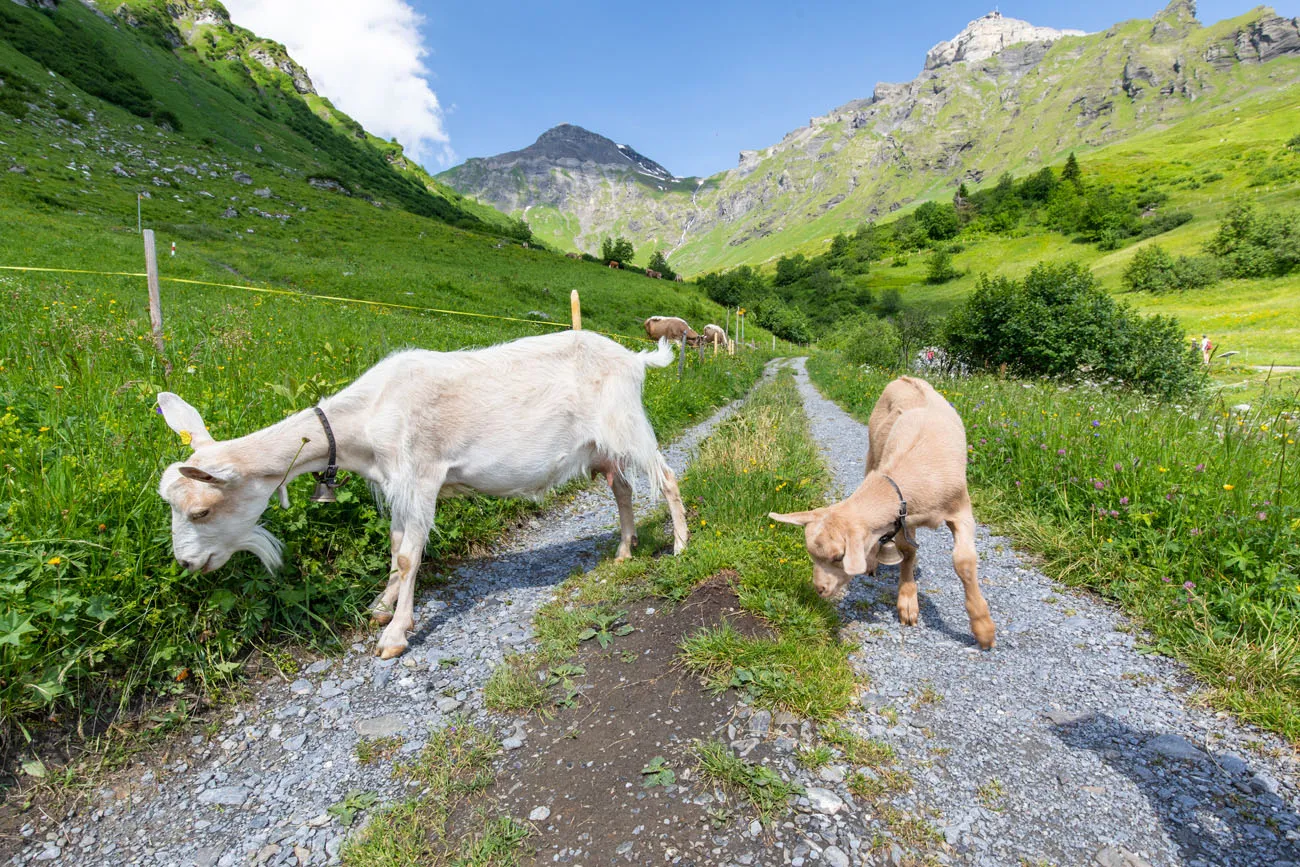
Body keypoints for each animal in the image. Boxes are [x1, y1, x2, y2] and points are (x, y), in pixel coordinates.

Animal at [157, 330, 691, 657]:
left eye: (201, 510)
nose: (186, 563)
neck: (369, 414)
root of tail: (634, 358)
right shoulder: (396, 484)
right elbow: (396, 548)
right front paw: (381, 606)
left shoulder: (421, 476)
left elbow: (410, 555)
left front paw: (395, 634)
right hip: (600, 449)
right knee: (622, 489)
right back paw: (624, 551)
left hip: (626, 425)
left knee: (664, 477)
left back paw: (681, 545)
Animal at [769, 374, 993, 649]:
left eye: (838, 556)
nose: (819, 589)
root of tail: (905, 378)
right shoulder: (904, 517)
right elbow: (907, 551)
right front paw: (907, 600)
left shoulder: (960, 509)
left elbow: (964, 561)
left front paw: (983, 629)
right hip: (872, 452)